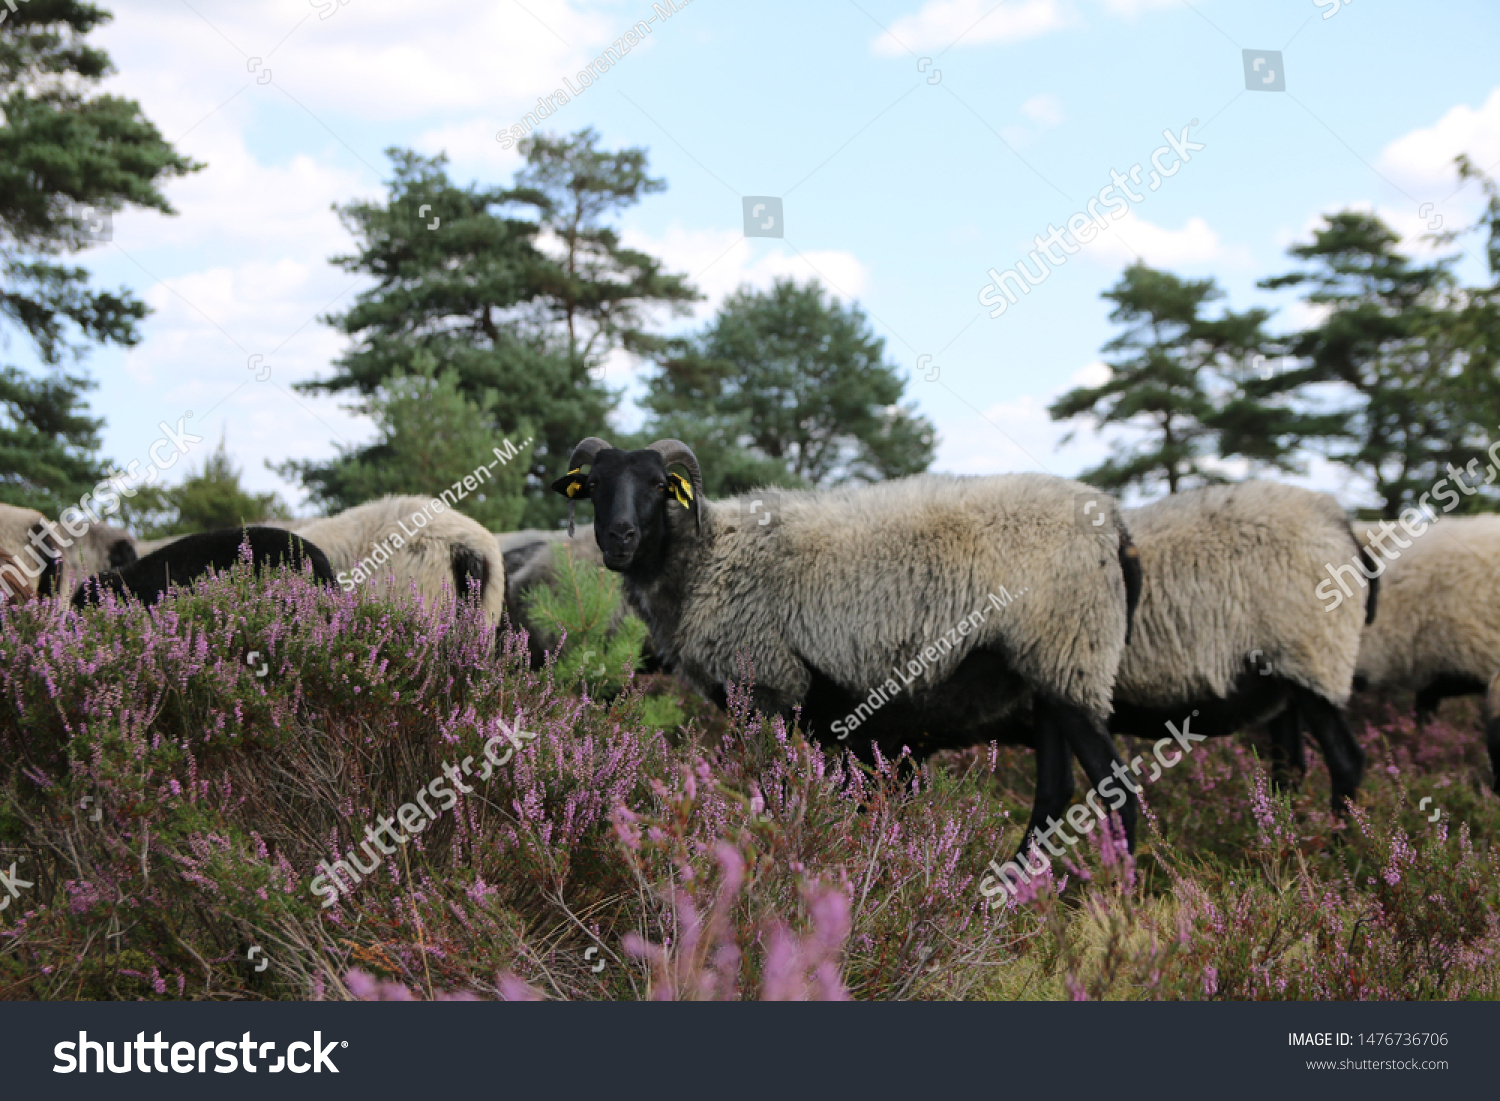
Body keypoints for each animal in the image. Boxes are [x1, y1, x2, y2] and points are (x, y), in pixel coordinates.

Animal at [558, 435, 1140, 852]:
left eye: (659, 485)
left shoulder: (770, 682)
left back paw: (1112, 899)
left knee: (1120, 792)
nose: (619, 537)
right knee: (1054, 792)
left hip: (1072, 653)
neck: (706, 558)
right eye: (594, 484)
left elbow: (777, 788)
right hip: (1049, 670)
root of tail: (1114, 521)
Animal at [1110, 483, 1374, 810]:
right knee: (1289, 766)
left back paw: (1339, 825)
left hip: (1315, 657)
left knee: (1345, 760)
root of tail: (1337, 519)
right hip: (1283, 681)